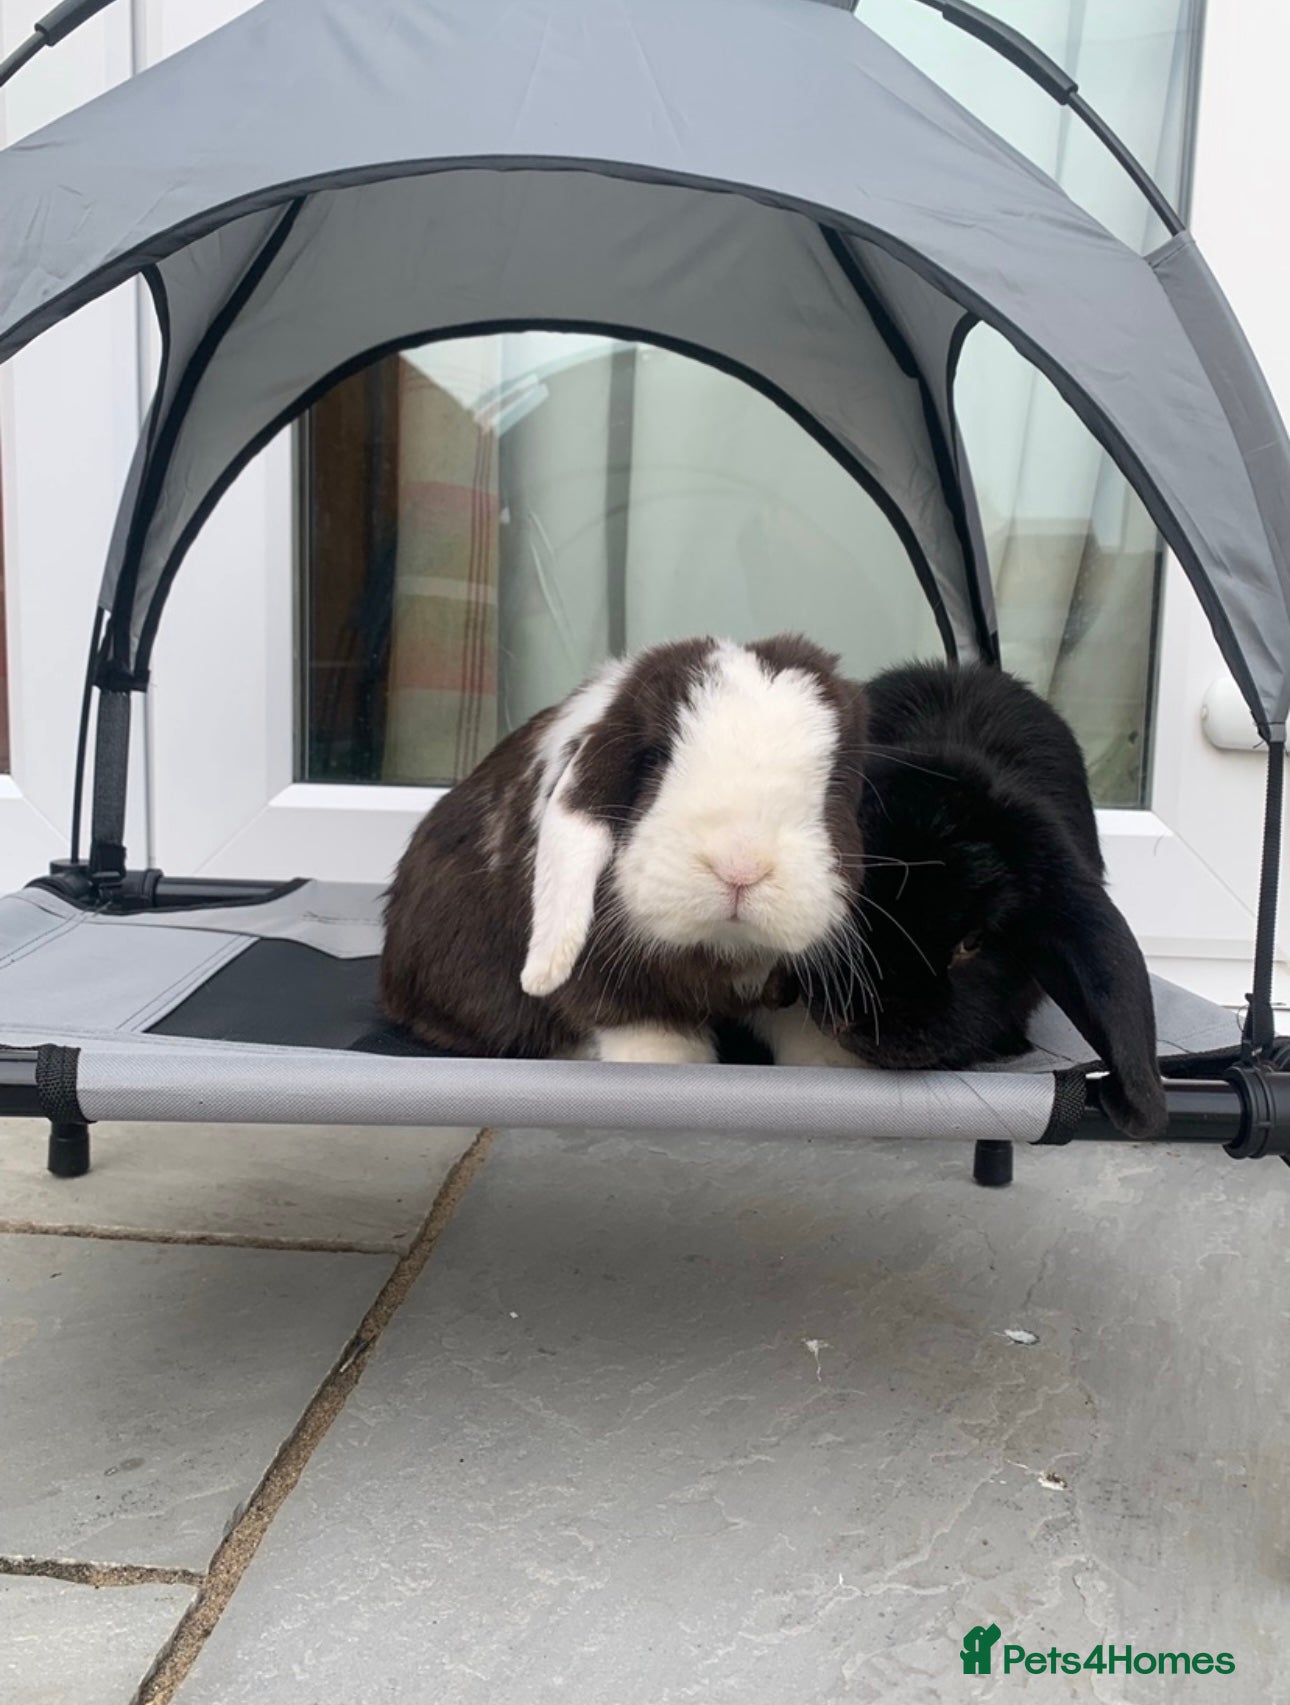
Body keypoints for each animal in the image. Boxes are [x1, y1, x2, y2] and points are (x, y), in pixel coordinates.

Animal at [379, 634, 869, 1064]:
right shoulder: (614, 987)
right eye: (655, 759)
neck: (720, 948)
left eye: (835, 783)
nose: (741, 868)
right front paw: (665, 1061)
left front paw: (834, 1061)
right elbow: (643, 1029)